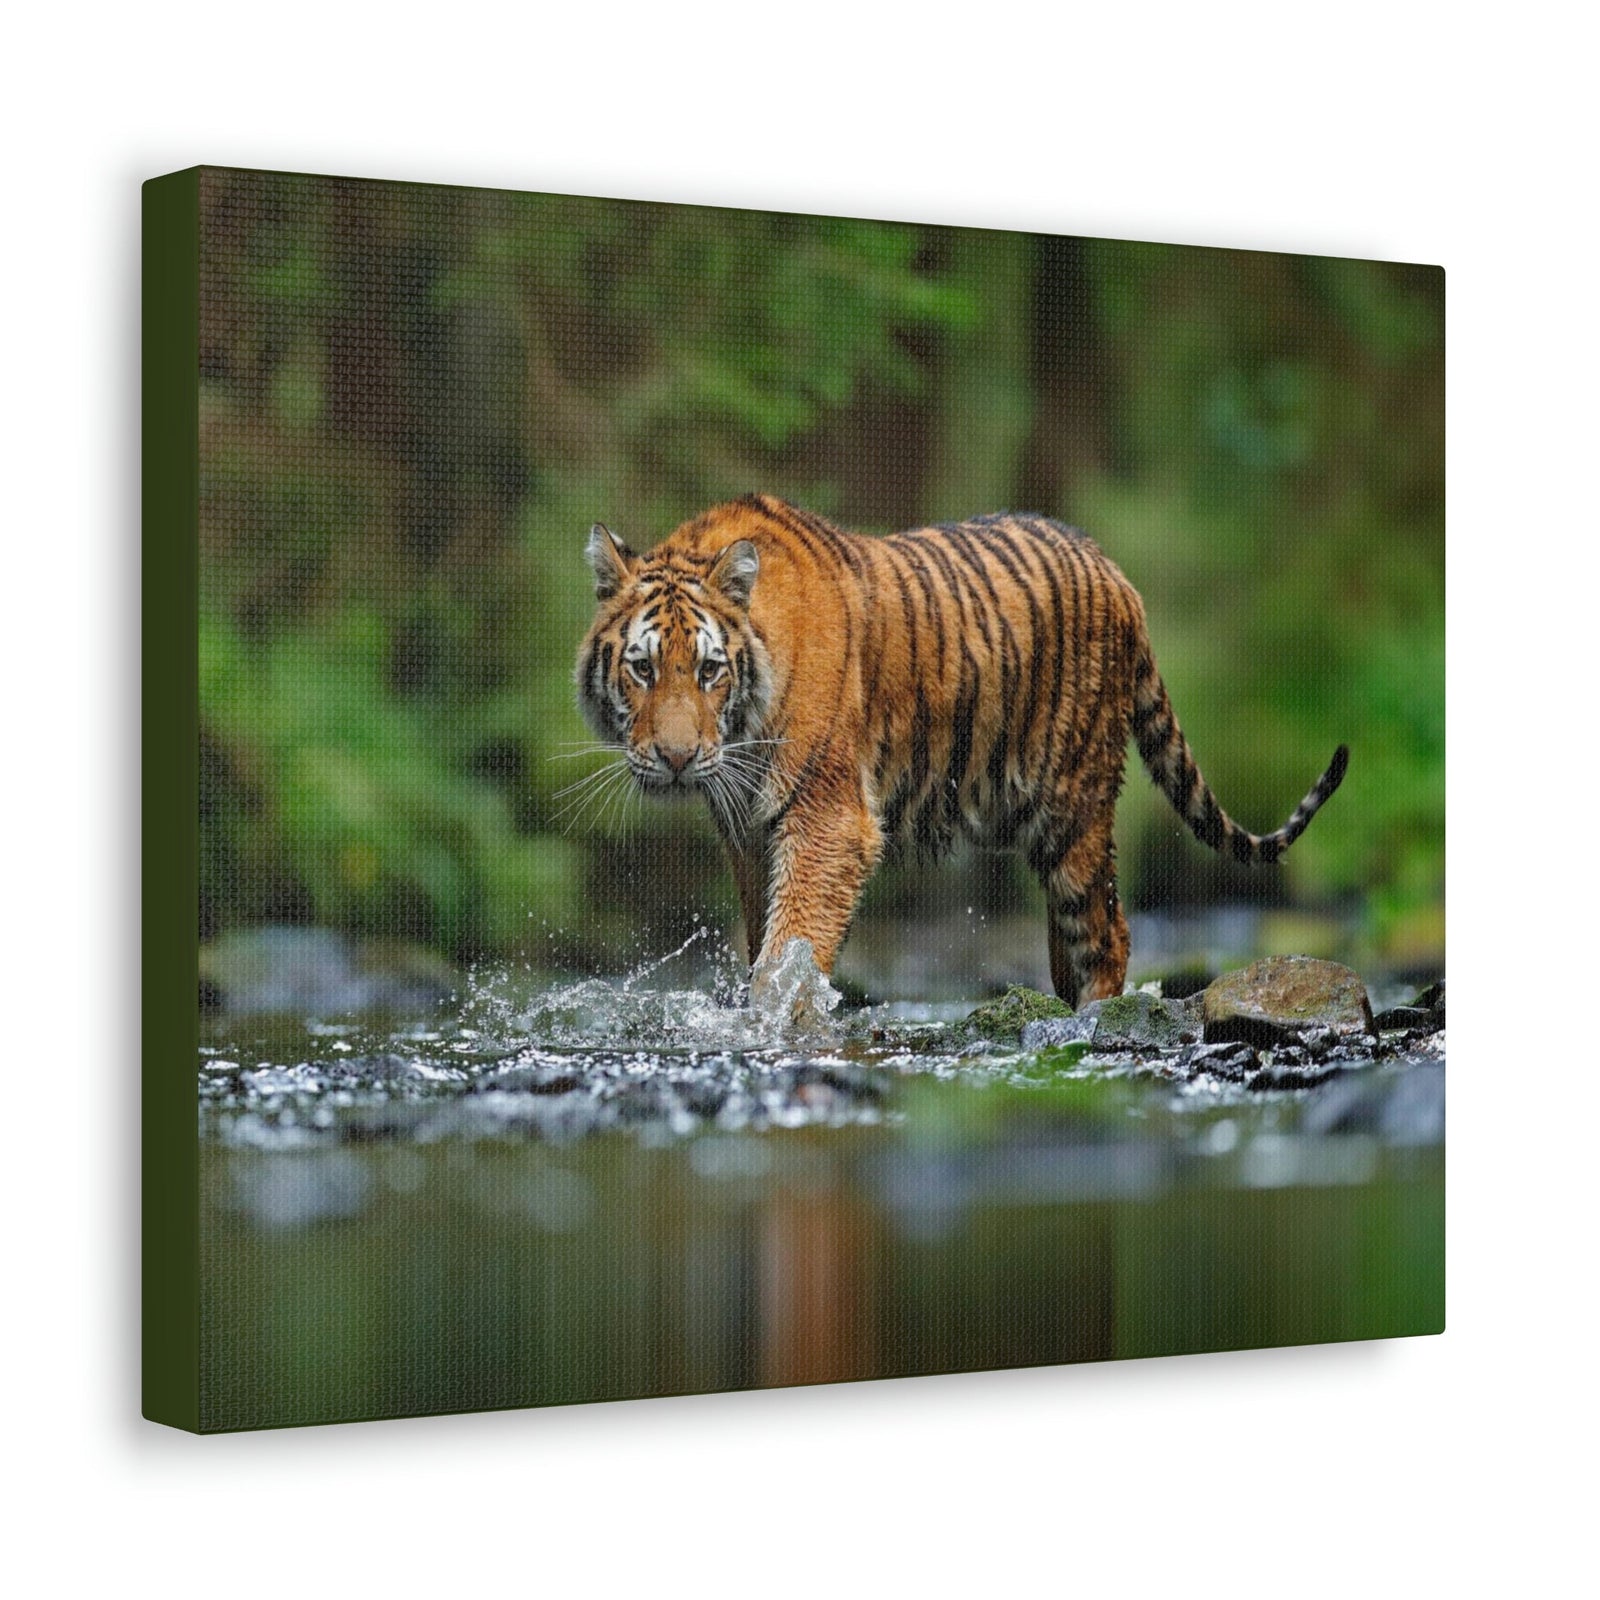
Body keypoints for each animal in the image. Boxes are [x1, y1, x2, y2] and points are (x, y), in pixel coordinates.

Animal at [575, 492, 1347, 1010]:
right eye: (642, 668)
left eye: (710, 670)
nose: (677, 758)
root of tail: (1117, 573)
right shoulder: (747, 830)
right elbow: (762, 932)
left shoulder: (829, 817)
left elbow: (790, 944)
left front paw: (772, 1017)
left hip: (1074, 808)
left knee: (1110, 932)